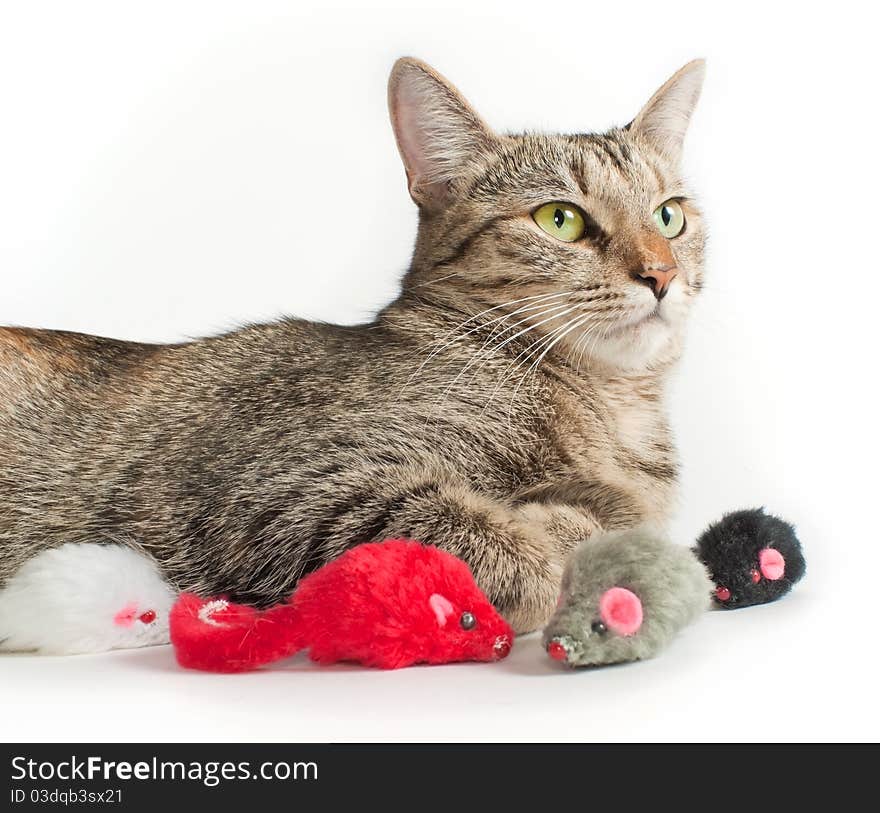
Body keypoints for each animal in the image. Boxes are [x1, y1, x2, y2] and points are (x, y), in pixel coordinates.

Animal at [0, 60, 704, 636]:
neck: (612, 409)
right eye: (560, 218)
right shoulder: (284, 490)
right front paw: (555, 544)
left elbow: (620, 516)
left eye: (669, 216)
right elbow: (477, 536)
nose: (661, 273)